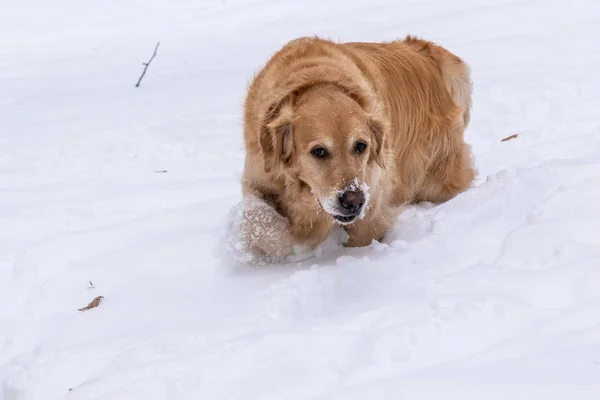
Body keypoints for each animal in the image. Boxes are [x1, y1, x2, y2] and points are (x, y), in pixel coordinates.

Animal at [237, 35, 476, 262]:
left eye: (361, 146)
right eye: (319, 151)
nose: (353, 201)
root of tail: (427, 52)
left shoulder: (374, 191)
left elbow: (362, 235)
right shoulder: (259, 174)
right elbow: (257, 220)